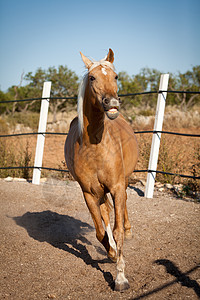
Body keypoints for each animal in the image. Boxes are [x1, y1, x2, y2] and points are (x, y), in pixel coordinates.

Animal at [65, 48, 138, 290]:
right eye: (92, 78)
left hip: (122, 183)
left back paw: (128, 230)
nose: (112, 103)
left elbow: (116, 229)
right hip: (99, 192)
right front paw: (112, 253)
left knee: (122, 208)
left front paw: (121, 277)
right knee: (105, 212)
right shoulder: (89, 193)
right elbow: (99, 231)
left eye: (115, 76)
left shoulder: (116, 186)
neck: (94, 146)